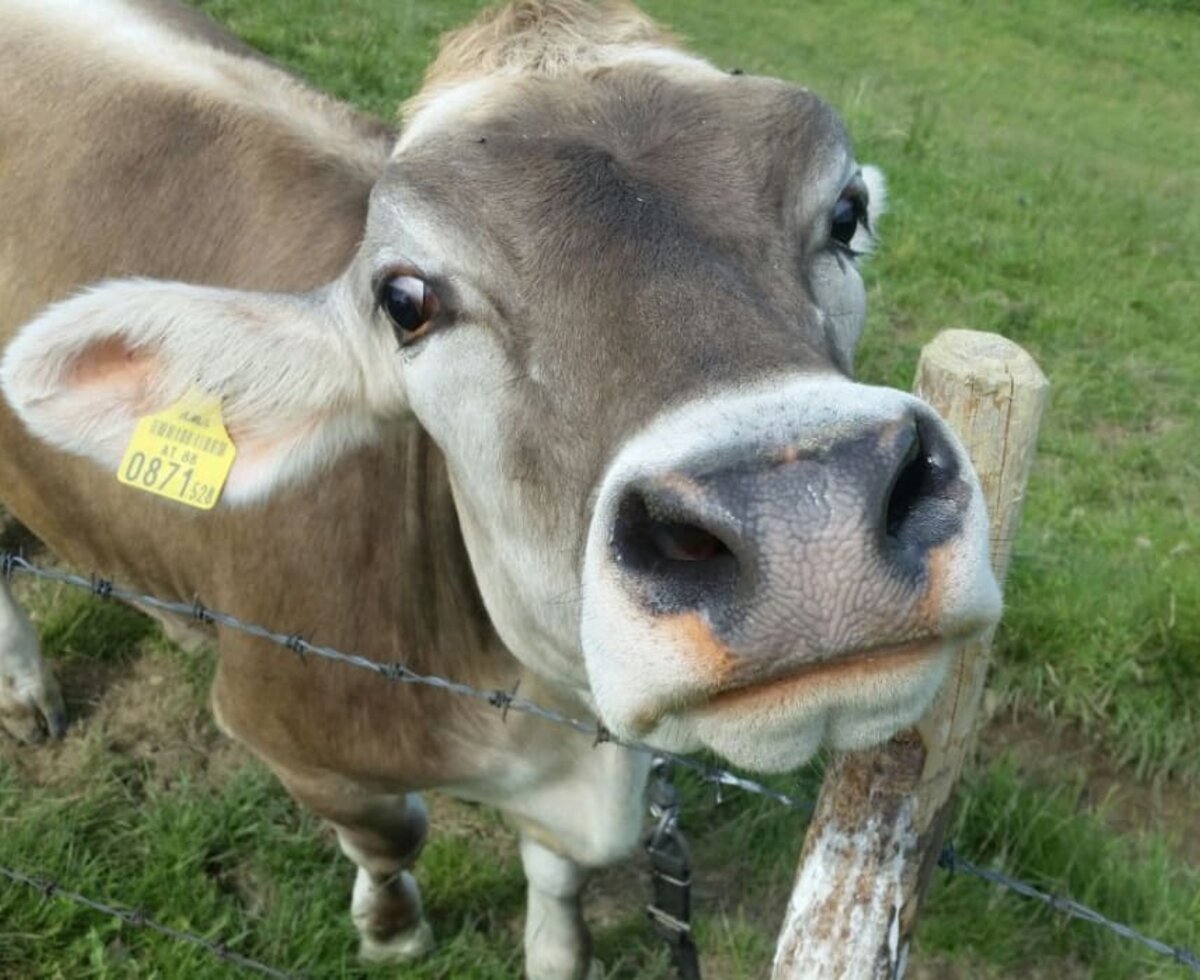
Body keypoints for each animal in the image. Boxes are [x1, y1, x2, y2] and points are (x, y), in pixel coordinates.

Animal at [0, 1, 1003, 969]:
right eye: (405, 302)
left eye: (846, 215)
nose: (806, 517)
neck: (546, 722)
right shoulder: (288, 732)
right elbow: (393, 835)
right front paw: (392, 930)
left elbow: (556, 876)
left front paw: (556, 951)